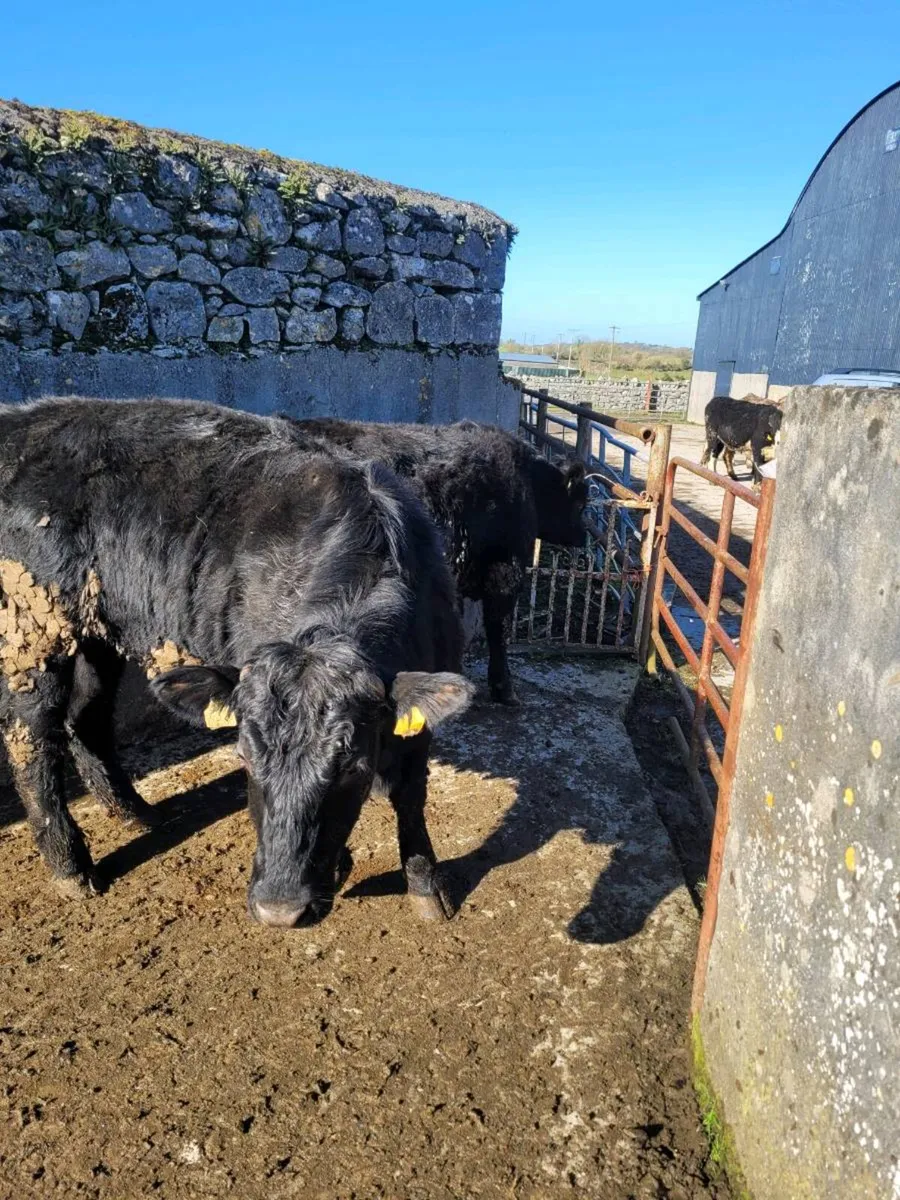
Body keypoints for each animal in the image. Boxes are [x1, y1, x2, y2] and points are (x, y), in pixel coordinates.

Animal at [0, 398, 474, 926]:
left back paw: (135, 812)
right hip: (33, 630)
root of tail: (26, 420)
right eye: (243, 757)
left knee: (87, 716)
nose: (279, 910)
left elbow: (411, 795)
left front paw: (426, 887)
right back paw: (72, 867)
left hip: (99, 631)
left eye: (353, 766)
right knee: (32, 737)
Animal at [293, 418, 591, 705]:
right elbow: (498, 627)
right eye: (580, 504)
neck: (527, 482)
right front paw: (504, 689)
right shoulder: (505, 570)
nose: (584, 535)